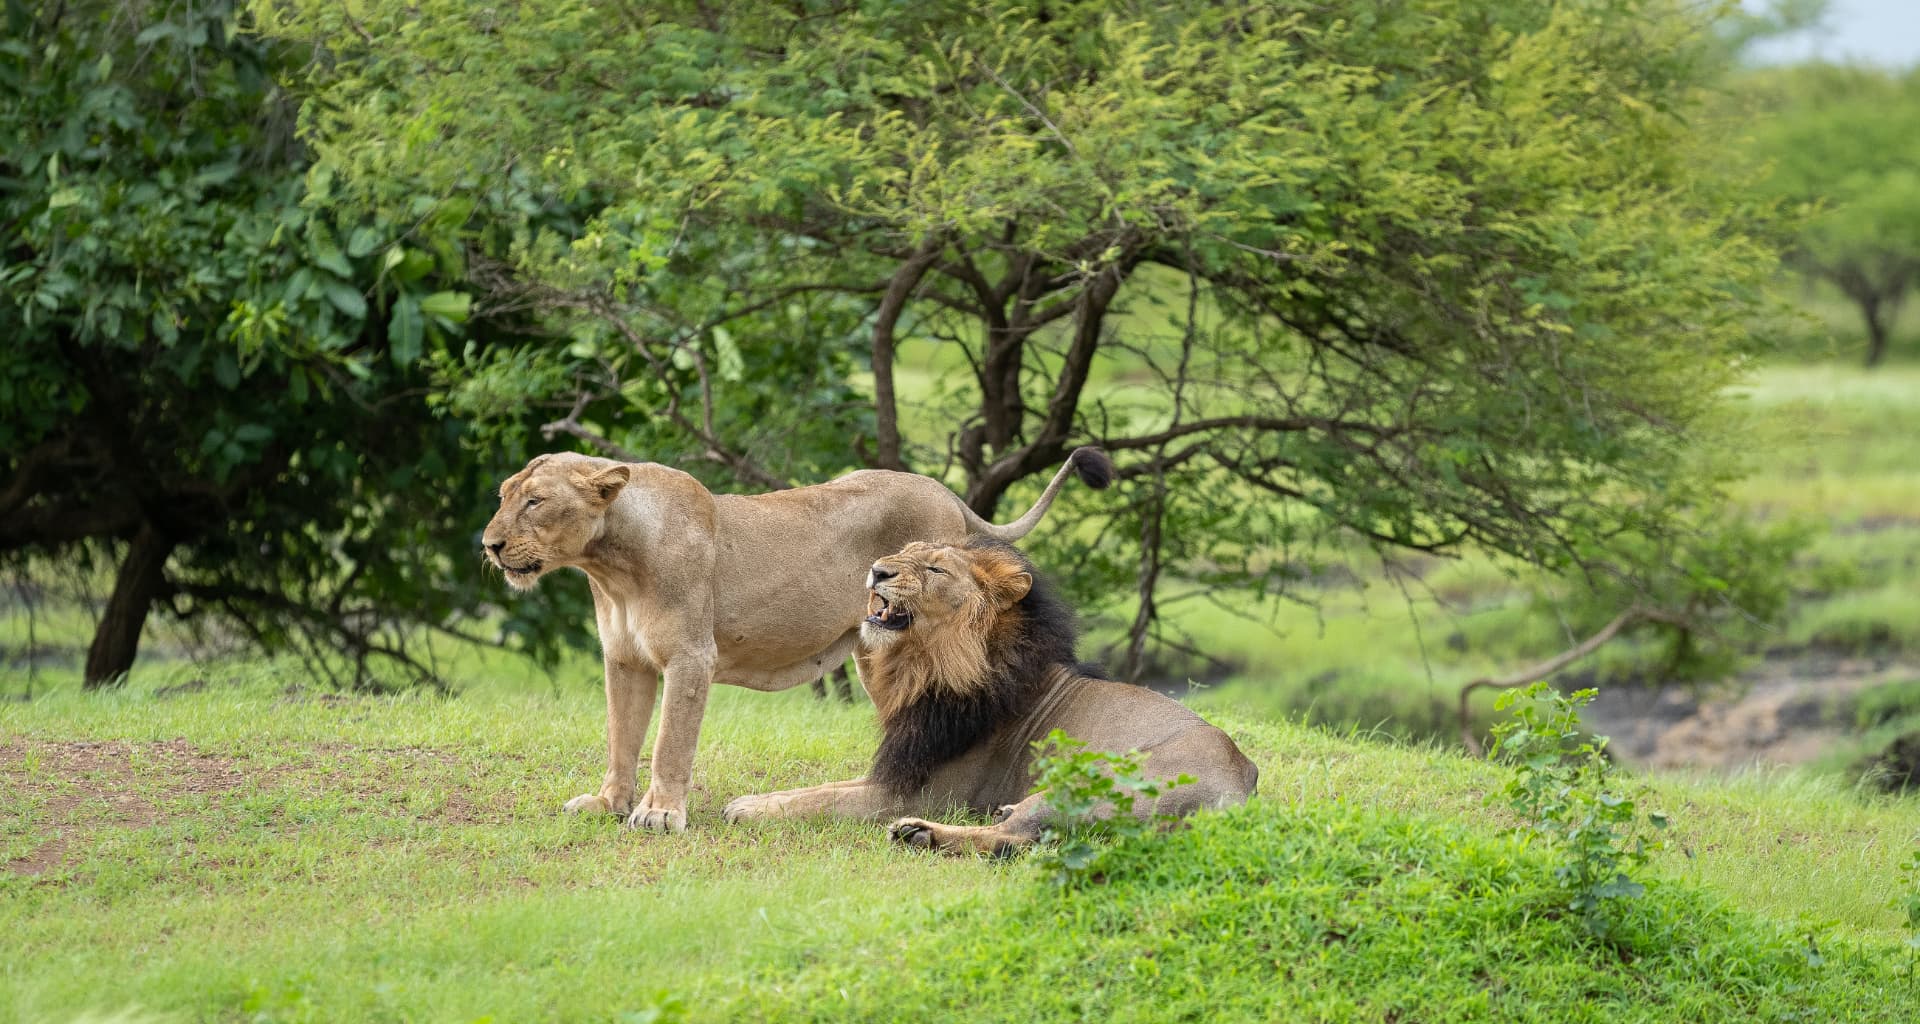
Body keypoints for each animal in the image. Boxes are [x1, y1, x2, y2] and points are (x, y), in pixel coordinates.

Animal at [480, 447, 1113, 833]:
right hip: (872, 649)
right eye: (502, 496)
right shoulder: (623, 660)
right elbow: (620, 736)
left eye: (535, 501)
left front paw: (660, 815)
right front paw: (608, 804)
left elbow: (667, 743)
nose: (488, 545)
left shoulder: (690, 657)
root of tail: (945, 492)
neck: (610, 564)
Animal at [721, 537, 1258, 855]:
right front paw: (754, 799)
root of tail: (1243, 785)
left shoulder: (925, 792)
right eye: (903, 552)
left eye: (936, 570)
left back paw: (920, 834)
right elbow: (819, 789)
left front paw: (748, 812)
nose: (877, 571)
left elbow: (825, 802)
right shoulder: (901, 766)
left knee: (1011, 838)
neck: (926, 668)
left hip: (1092, 782)